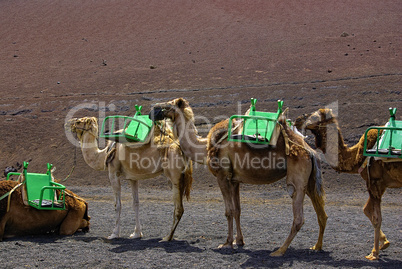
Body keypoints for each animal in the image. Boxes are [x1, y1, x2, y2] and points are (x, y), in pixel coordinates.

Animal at [151, 98, 326, 255]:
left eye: (168, 105)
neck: (204, 148)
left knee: (299, 216)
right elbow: (237, 210)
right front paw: (239, 241)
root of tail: (310, 151)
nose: (153, 110)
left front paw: (227, 243)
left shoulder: (222, 176)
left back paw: (279, 251)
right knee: (321, 214)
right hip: (309, 180)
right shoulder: (235, 180)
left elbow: (228, 211)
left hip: (298, 176)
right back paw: (316, 247)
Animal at [294, 108, 400, 258]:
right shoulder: (381, 184)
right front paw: (385, 243)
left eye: (314, 116)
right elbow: (366, 210)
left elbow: (376, 218)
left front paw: (374, 253)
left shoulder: (374, 182)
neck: (358, 156)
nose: (297, 120)